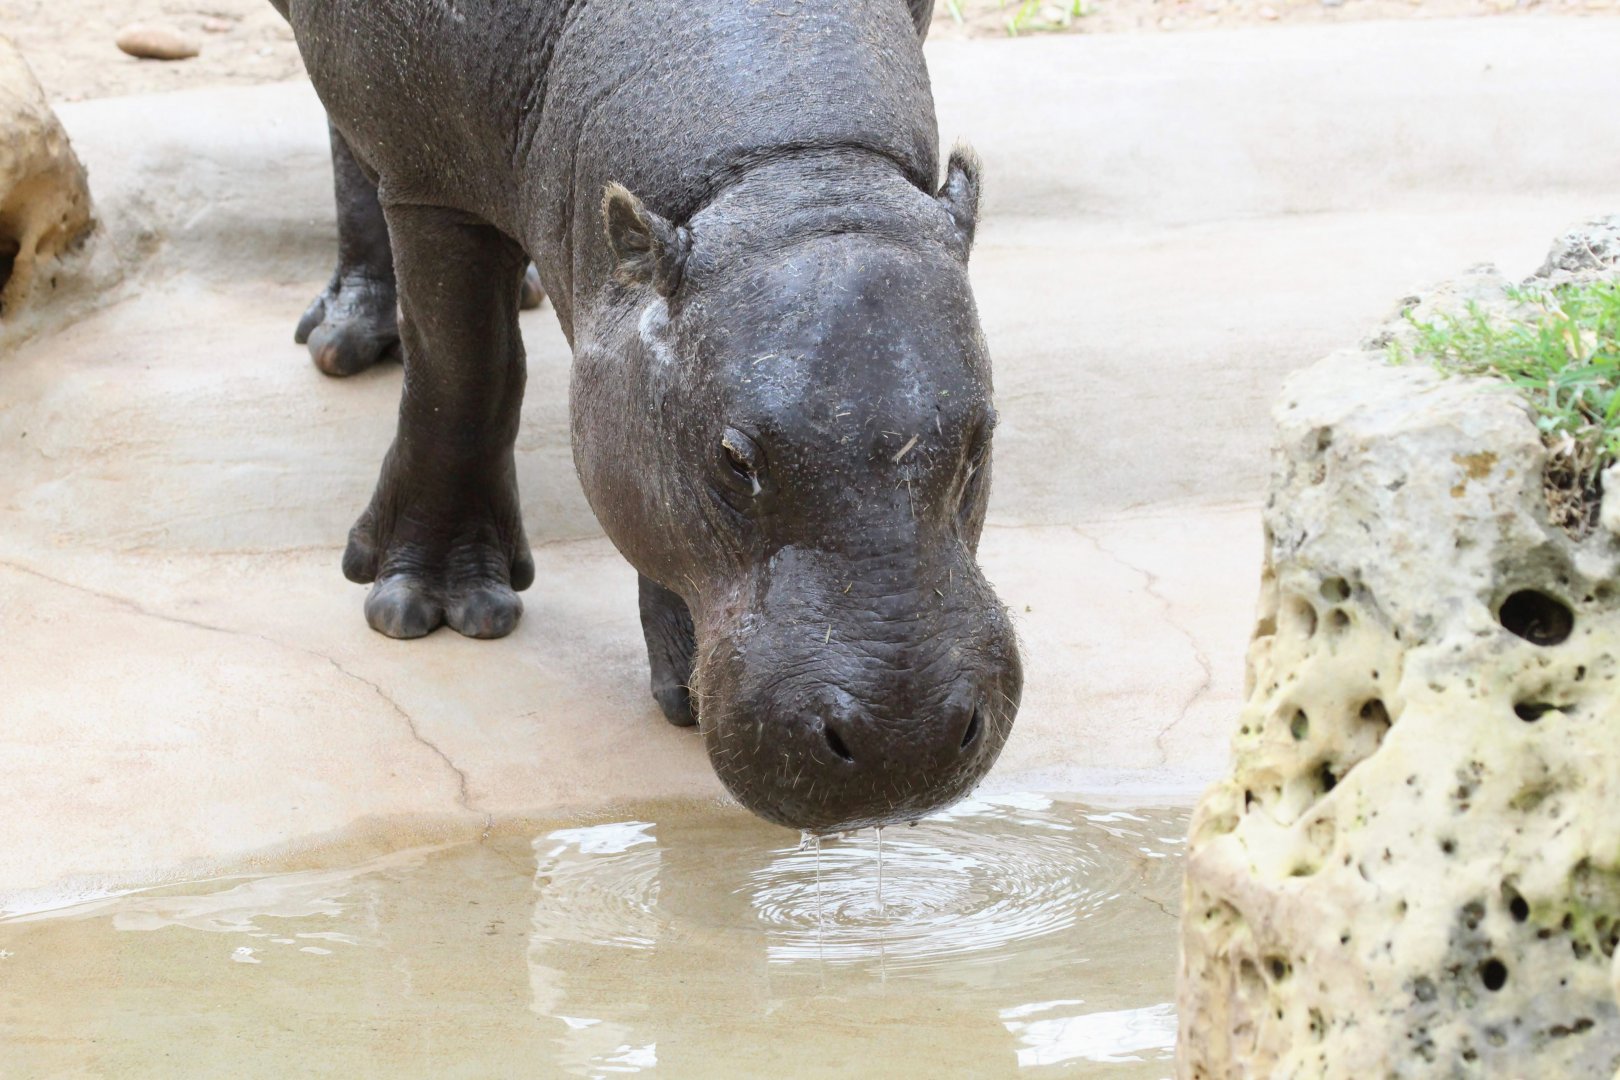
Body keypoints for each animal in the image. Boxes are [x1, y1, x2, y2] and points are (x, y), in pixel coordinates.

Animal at [271, 0, 1022, 832]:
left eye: (983, 439)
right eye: (734, 458)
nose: (903, 742)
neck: (790, 171)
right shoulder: (429, 182)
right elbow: (463, 368)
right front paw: (432, 608)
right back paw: (346, 340)